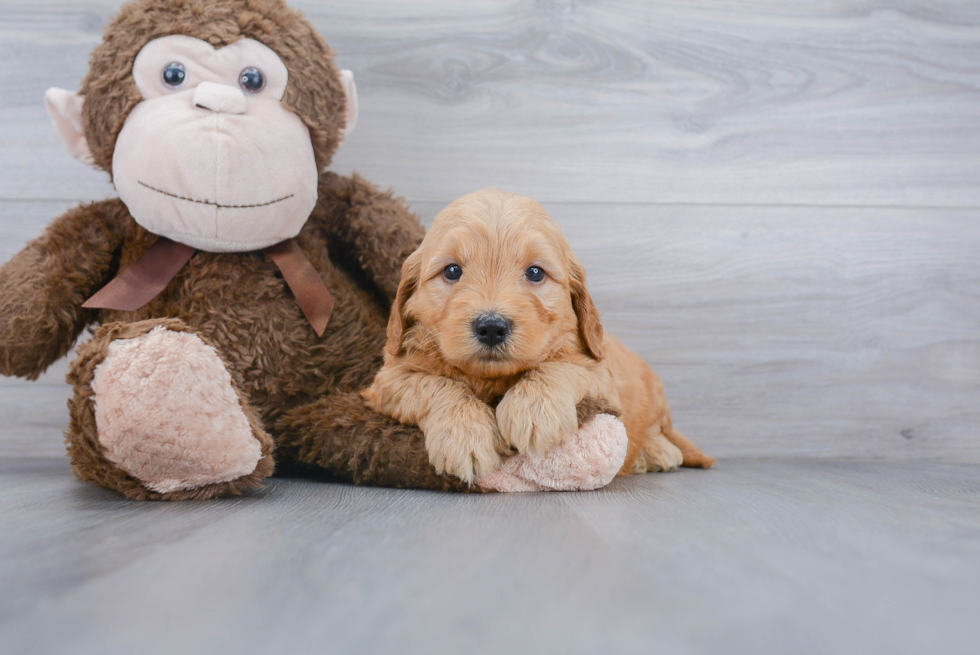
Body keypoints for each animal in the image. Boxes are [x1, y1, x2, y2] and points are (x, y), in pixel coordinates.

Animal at [364, 187, 716, 484]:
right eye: (452, 271)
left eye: (535, 272)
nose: (491, 326)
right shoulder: (389, 378)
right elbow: (439, 385)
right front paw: (465, 436)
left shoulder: (600, 375)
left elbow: (556, 367)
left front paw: (532, 412)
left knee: (659, 433)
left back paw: (655, 453)